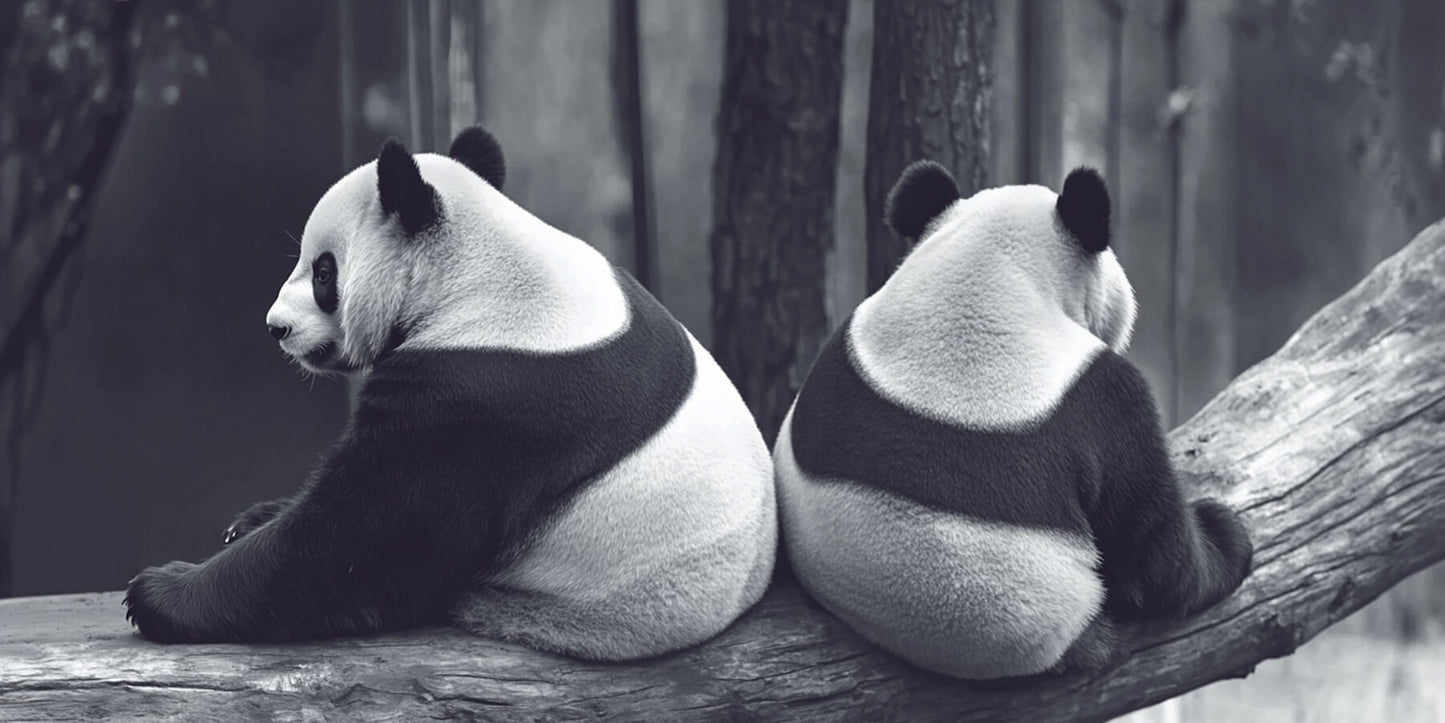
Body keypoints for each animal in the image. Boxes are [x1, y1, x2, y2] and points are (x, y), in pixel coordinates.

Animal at [123, 125, 777, 661]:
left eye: (325, 272)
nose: (275, 327)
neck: (481, 274)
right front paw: (251, 519)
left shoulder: (483, 399)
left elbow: (357, 541)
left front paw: (157, 592)